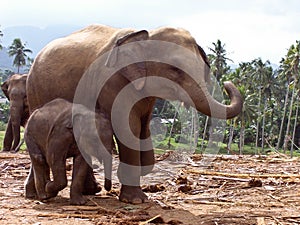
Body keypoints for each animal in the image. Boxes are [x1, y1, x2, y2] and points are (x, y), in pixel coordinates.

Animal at [26, 24, 244, 204]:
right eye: (174, 70)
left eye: (204, 67)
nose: (227, 84)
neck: (146, 34)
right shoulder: (113, 82)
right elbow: (127, 127)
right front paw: (136, 200)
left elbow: (143, 128)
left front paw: (142, 172)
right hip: (35, 90)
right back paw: (40, 194)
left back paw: (84, 191)